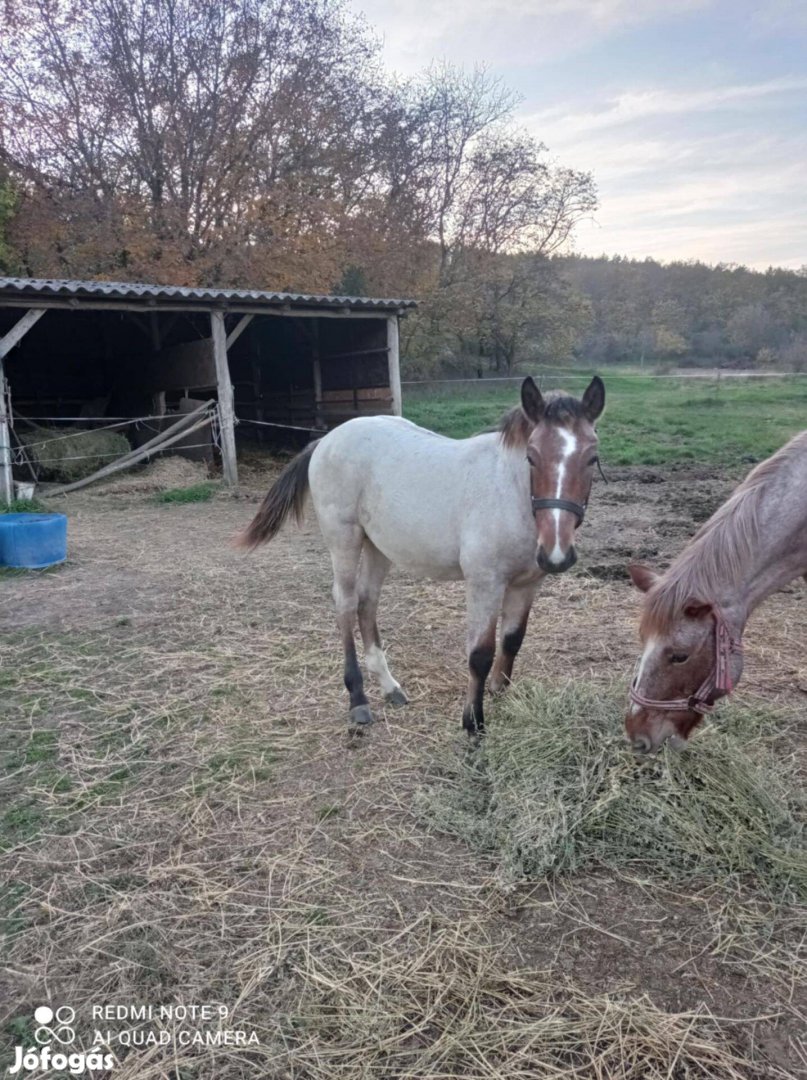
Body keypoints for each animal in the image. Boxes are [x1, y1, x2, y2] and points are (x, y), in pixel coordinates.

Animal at [239, 375, 604, 730]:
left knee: (367, 601)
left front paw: (501, 696)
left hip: (378, 545)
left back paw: (389, 687)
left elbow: (513, 640)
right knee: (345, 602)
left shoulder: (528, 583)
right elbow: (480, 654)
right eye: (531, 457)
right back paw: (358, 700)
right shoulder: (484, 583)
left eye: (592, 458)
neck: (511, 492)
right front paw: (473, 723)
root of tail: (328, 439)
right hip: (343, 538)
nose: (556, 553)